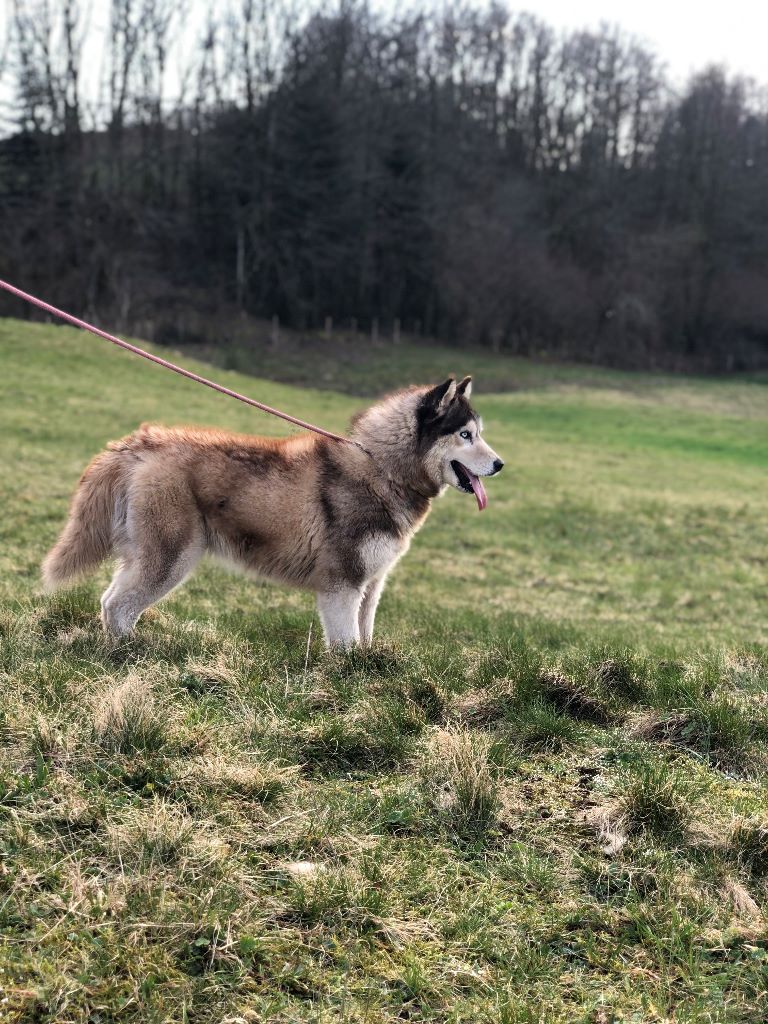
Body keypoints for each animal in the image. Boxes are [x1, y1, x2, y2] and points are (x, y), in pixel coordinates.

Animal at [42, 376, 503, 647]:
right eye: (465, 435)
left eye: (478, 434)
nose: (500, 464)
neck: (382, 467)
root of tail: (139, 443)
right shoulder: (341, 586)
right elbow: (347, 645)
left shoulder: (370, 587)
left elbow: (365, 639)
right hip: (170, 560)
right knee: (117, 606)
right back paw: (127, 656)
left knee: (110, 601)